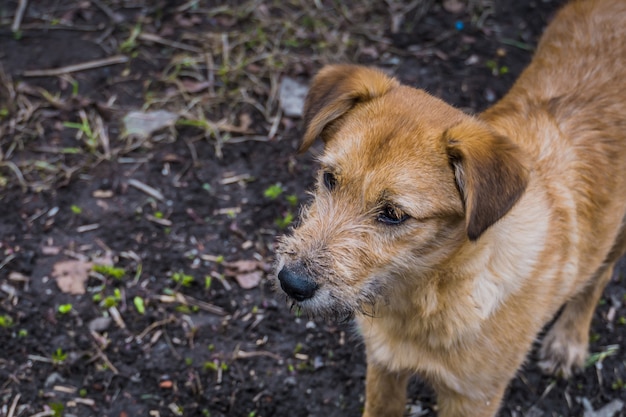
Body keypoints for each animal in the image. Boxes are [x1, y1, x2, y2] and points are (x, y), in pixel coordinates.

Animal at [276, 0, 624, 414]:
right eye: (329, 178)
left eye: (394, 214)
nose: (291, 282)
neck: (426, 291)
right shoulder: (383, 365)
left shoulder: (472, 398)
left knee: (599, 274)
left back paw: (568, 340)